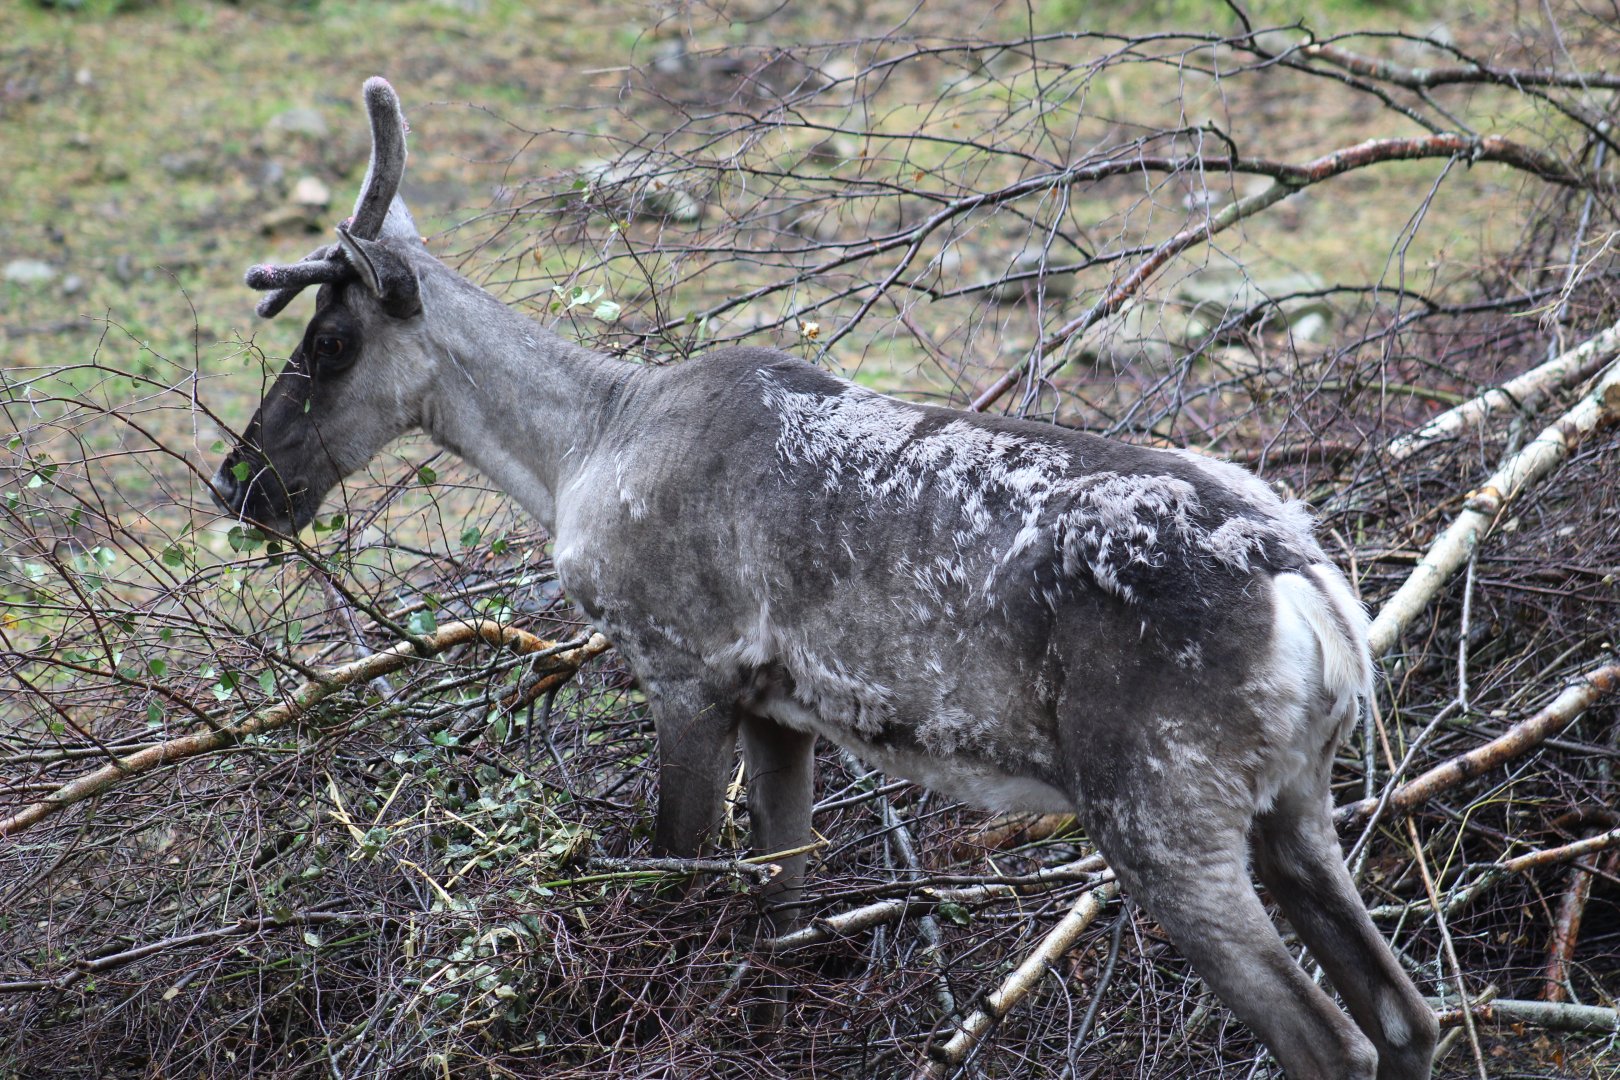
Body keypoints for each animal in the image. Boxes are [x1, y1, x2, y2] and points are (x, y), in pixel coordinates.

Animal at [212, 78, 1437, 1080]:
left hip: (1161, 809)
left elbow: (677, 875)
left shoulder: (685, 667)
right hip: (1295, 797)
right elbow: (782, 913)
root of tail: (1314, 592)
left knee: (1331, 1040)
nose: (239, 481)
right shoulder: (781, 708)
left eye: (328, 343)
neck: (583, 447)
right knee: (1406, 1016)